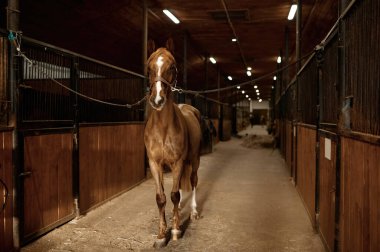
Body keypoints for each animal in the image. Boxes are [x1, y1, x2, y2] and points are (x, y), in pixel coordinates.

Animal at [144, 40, 202, 248]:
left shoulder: (177, 163)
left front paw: (176, 230)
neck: (162, 128)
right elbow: (161, 198)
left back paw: (193, 212)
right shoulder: (155, 164)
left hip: (194, 160)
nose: (157, 99)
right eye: (149, 68)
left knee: (192, 182)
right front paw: (162, 236)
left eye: (173, 67)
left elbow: (174, 195)